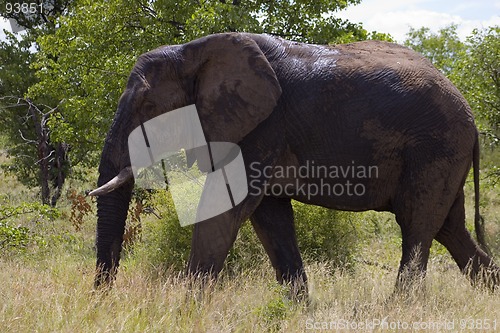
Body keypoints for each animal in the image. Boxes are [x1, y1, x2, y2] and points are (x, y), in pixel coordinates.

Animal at [88, 31, 498, 290]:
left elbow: (227, 207)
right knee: (449, 228)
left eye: (149, 107)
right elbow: (271, 219)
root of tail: (471, 116)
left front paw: (186, 310)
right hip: (444, 153)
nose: (103, 297)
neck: (193, 50)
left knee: (417, 225)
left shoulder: (264, 126)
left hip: (436, 146)